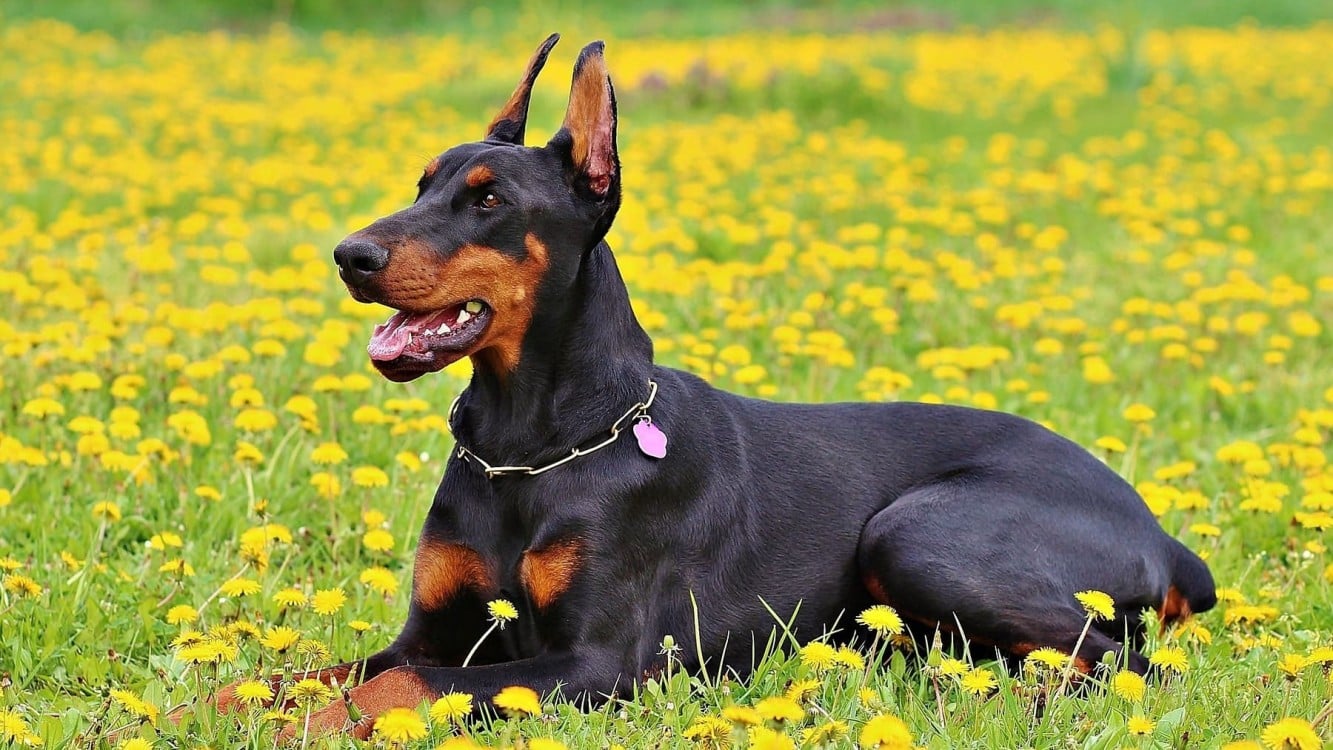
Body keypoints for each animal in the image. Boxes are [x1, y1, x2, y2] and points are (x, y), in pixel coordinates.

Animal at [226, 33, 1210, 740]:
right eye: (422, 183)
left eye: (488, 200)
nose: (350, 256)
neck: (531, 446)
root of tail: (1161, 533)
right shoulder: (434, 627)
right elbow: (301, 670)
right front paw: (227, 701)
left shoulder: (598, 663)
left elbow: (401, 684)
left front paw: (308, 727)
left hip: (917, 534)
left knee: (1122, 663)